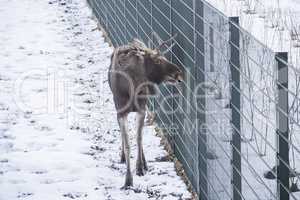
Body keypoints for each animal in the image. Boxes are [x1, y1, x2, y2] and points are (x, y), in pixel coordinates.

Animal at [108, 35, 183, 188]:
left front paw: (139, 168)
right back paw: (123, 157)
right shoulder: (121, 112)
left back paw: (144, 163)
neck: (131, 87)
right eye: (158, 60)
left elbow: (139, 138)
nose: (179, 73)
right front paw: (128, 179)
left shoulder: (141, 109)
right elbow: (128, 143)